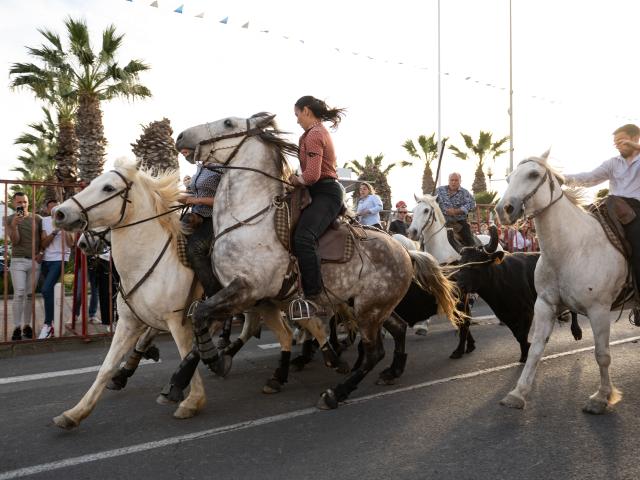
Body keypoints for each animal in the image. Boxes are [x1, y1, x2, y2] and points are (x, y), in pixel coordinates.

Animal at [496, 151, 624, 412]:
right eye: (508, 178)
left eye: (533, 174)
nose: (504, 210)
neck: (571, 249)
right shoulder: (545, 305)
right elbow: (535, 350)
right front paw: (518, 393)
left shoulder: (599, 310)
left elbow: (602, 355)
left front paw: (601, 397)